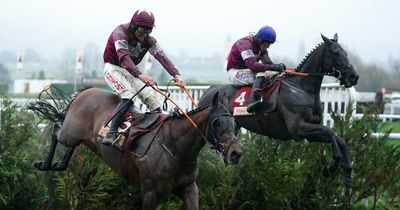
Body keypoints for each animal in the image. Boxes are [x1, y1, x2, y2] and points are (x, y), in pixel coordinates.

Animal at [28, 87, 241, 210]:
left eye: (235, 123)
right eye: (216, 123)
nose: (235, 153)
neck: (175, 147)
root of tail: (84, 92)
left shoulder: (189, 188)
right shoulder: (149, 193)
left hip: (83, 139)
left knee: (70, 143)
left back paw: (59, 164)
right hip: (70, 132)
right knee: (56, 128)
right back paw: (45, 163)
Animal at [200, 33, 360, 191]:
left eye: (346, 53)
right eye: (335, 52)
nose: (353, 76)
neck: (301, 88)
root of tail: (209, 90)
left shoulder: (309, 133)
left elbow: (339, 139)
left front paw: (347, 174)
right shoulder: (298, 129)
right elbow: (330, 131)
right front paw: (332, 165)